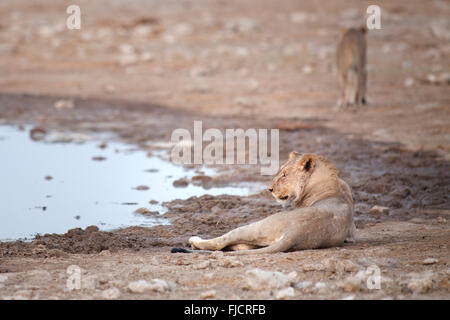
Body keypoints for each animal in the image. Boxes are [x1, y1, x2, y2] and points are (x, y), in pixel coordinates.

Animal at [188, 152, 356, 255]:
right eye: (281, 171)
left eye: (284, 175)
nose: (270, 189)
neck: (330, 186)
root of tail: (294, 234)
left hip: (258, 226)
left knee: (221, 242)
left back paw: (195, 240)